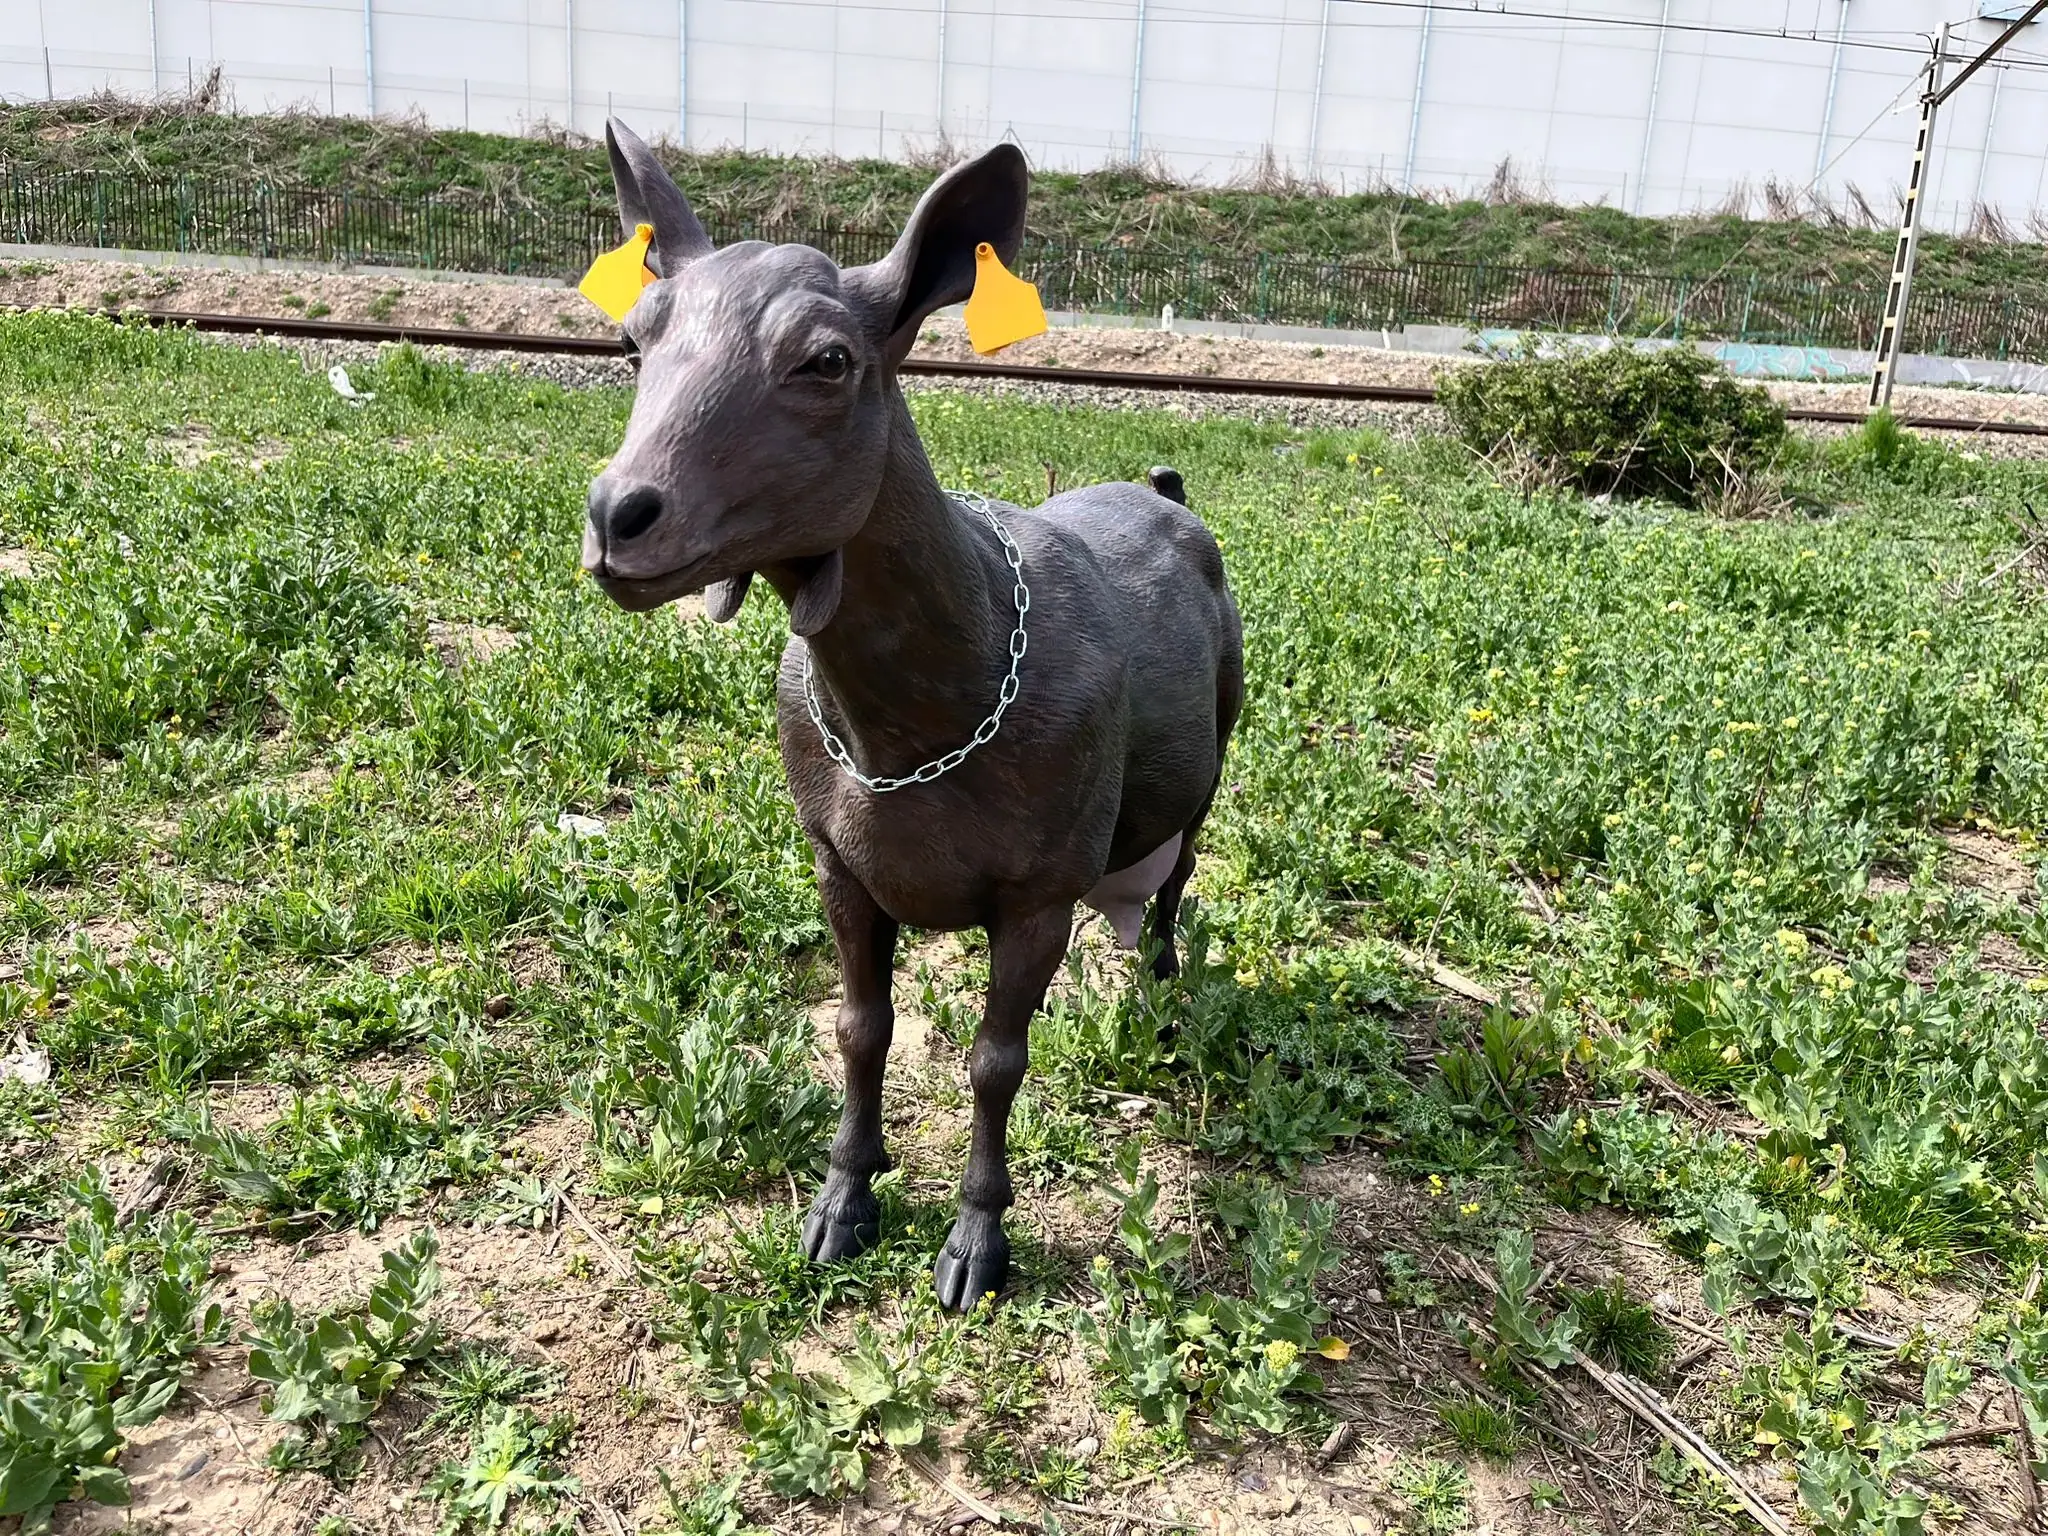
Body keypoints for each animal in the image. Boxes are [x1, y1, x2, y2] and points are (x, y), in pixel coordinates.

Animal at [581, 120, 1244, 1310]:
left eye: (827, 360)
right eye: (632, 341)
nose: (620, 516)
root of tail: (1165, 491)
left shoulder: (1037, 891)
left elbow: (994, 1060)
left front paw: (975, 1241)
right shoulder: (839, 862)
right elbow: (860, 1029)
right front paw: (844, 1199)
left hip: (1215, 754)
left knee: (1176, 881)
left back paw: (1161, 994)